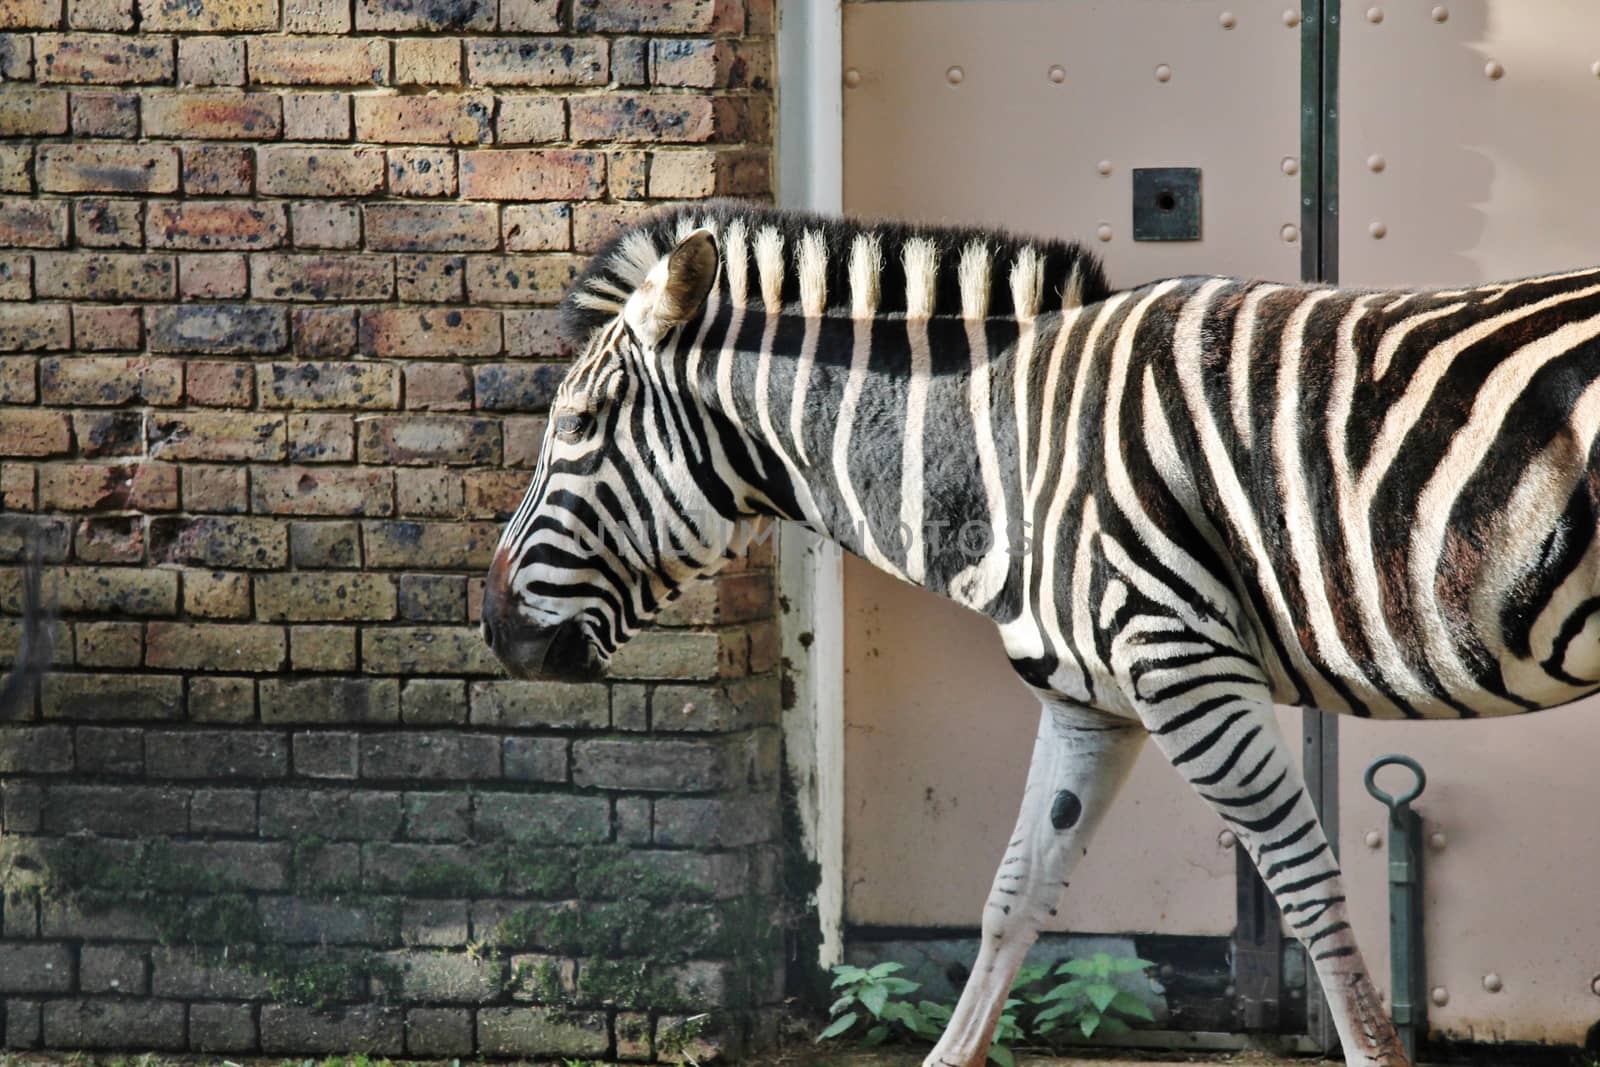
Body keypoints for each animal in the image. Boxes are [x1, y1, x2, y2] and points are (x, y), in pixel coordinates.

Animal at [480, 202, 1600, 1067]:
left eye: (576, 425)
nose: (497, 630)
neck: (1003, 449)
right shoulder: (1089, 702)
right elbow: (1013, 894)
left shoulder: (1185, 667)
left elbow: (1309, 888)